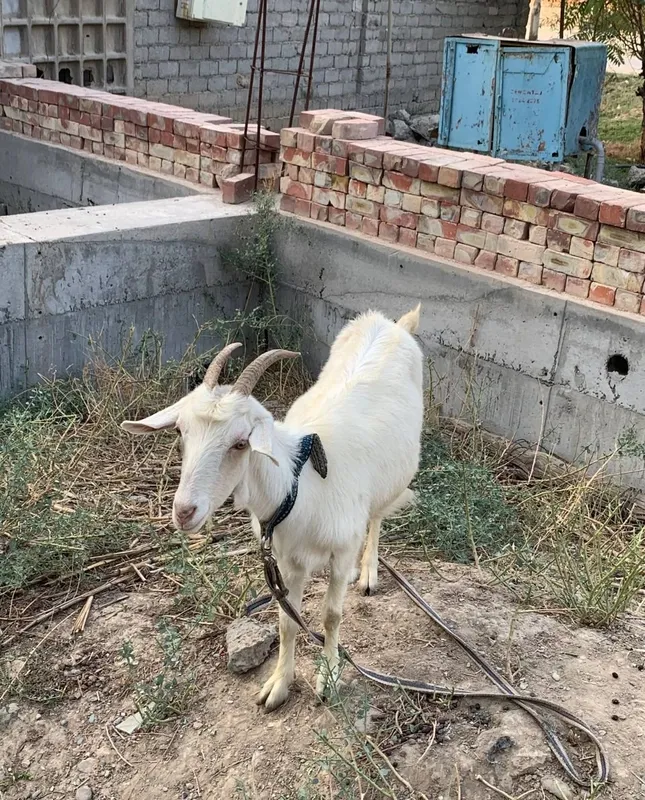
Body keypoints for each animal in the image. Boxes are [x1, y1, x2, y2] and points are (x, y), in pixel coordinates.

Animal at [121, 305, 424, 711]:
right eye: (181, 432)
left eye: (240, 442)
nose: (184, 512)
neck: (297, 484)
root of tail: (393, 323)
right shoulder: (286, 560)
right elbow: (286, 620)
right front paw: (278, 684)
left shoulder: (341, 549)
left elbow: (331, 615)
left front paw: (327, 678)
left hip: (390, 482)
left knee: (375, 517)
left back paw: (368, 573)